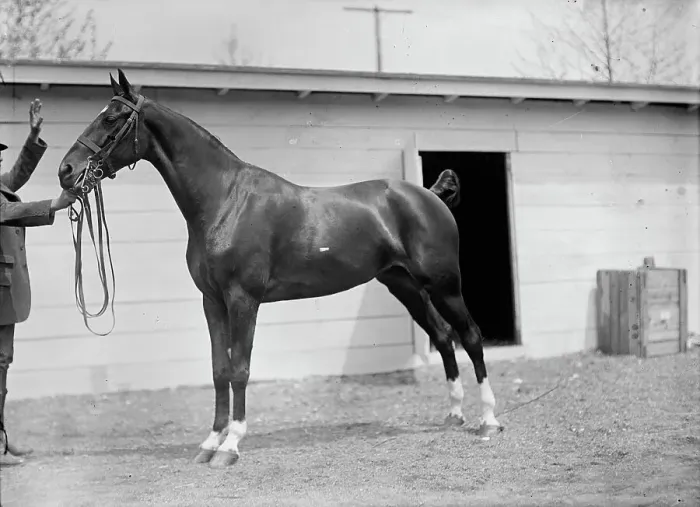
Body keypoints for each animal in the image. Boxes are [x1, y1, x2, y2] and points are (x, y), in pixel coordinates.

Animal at [57, 69, 502, 468]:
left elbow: (240, 369)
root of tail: (430, 195)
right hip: (405, 285)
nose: (66, 171)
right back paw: (454, 415)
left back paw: (488, 422)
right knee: (443, 337)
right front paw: (210, 442)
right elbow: (219, 369)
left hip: (444, 285)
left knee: (470, 336)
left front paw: (231, 445)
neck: (224, 200)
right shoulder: (212, 301)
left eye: (111, 118)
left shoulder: (243, 300)